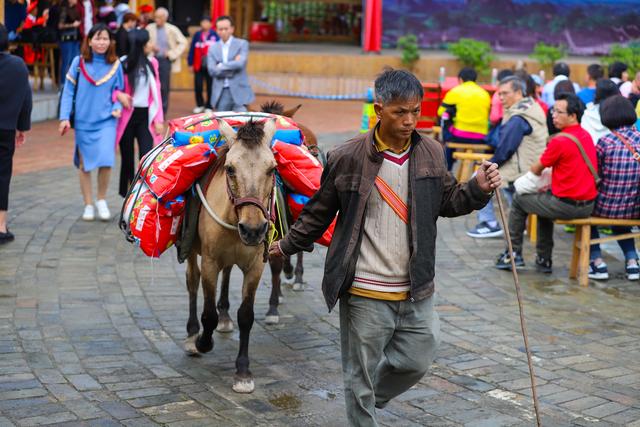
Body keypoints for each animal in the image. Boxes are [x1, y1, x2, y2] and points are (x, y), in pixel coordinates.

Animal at [184, 118, 276, 394]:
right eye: (230, 168)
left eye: (272, 169)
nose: (254, 229)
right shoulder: (210, 262)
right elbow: (208, 314)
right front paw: (203, 342)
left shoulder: (256, 266)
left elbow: (246, 316)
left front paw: (243, 373)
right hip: (192, 251)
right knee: (192, 281)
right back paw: (192, 335)